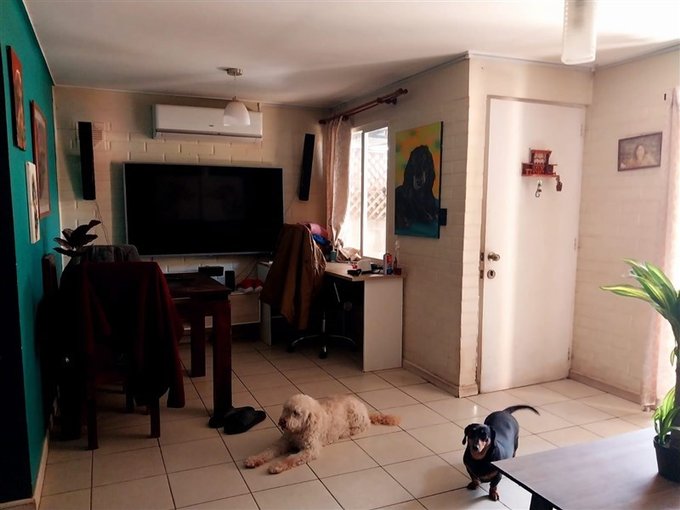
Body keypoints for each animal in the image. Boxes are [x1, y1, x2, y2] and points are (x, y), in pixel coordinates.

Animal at [244, 393, 399, 474]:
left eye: (296, 413)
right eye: (286, 409)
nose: (282, 422)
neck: (299, 431)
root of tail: (365, 410)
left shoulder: (310, 450)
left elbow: (291, 458)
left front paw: (277, 466)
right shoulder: (282, 443)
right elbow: (267, 451)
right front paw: (254, 459)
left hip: (356, 421)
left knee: (361, 427)